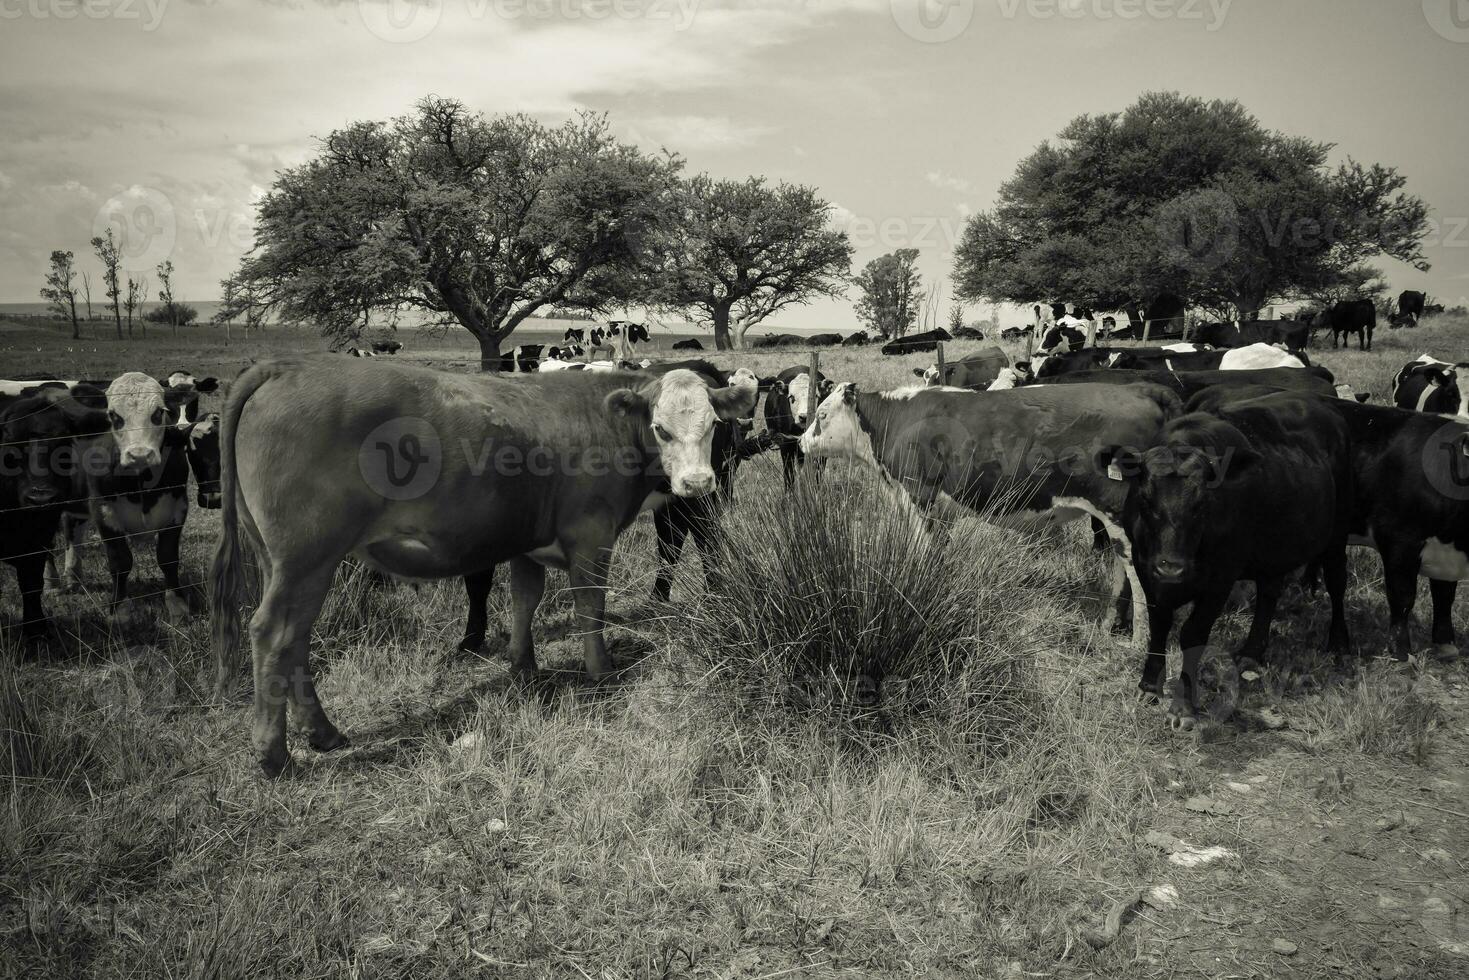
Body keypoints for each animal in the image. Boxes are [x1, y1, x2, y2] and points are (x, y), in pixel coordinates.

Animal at [799, 382, 1175, 652]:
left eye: (821, 414)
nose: (800, 442)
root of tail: (1140, 388)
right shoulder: (941, 513)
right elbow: (937, 557)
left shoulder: (919, 497)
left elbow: (922, 555)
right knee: (1121, 568)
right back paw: (1109, 625)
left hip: (1119, 513)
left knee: (1135, 571)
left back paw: (1137, 643)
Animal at [1110, 390, 1351, 728]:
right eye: (1145, 499)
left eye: (1202, 504)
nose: (1171, 568)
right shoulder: (1146, 565)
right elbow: (1159, 623)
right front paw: (1149, 687)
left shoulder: (1220, 578)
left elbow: (1192, 633)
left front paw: (1183, 705)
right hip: (1275, 547)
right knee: (1269, 593)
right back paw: (1252, 651)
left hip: (1338, 532)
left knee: (1337, 583)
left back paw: (1340, 643)